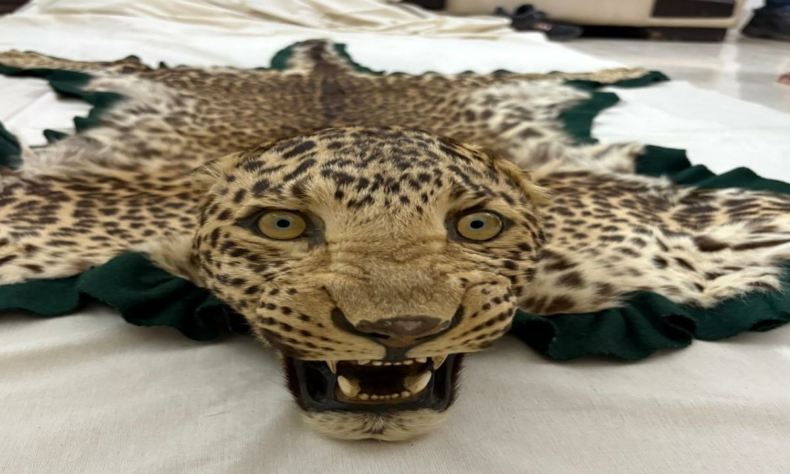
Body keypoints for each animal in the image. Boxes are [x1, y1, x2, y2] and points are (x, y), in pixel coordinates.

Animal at [1, 40, 789, 441]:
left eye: (477, 224)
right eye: (282, 225)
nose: (400, 330)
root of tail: (323, 67)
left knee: (531, 67)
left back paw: (631, 65)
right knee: (124, 64)